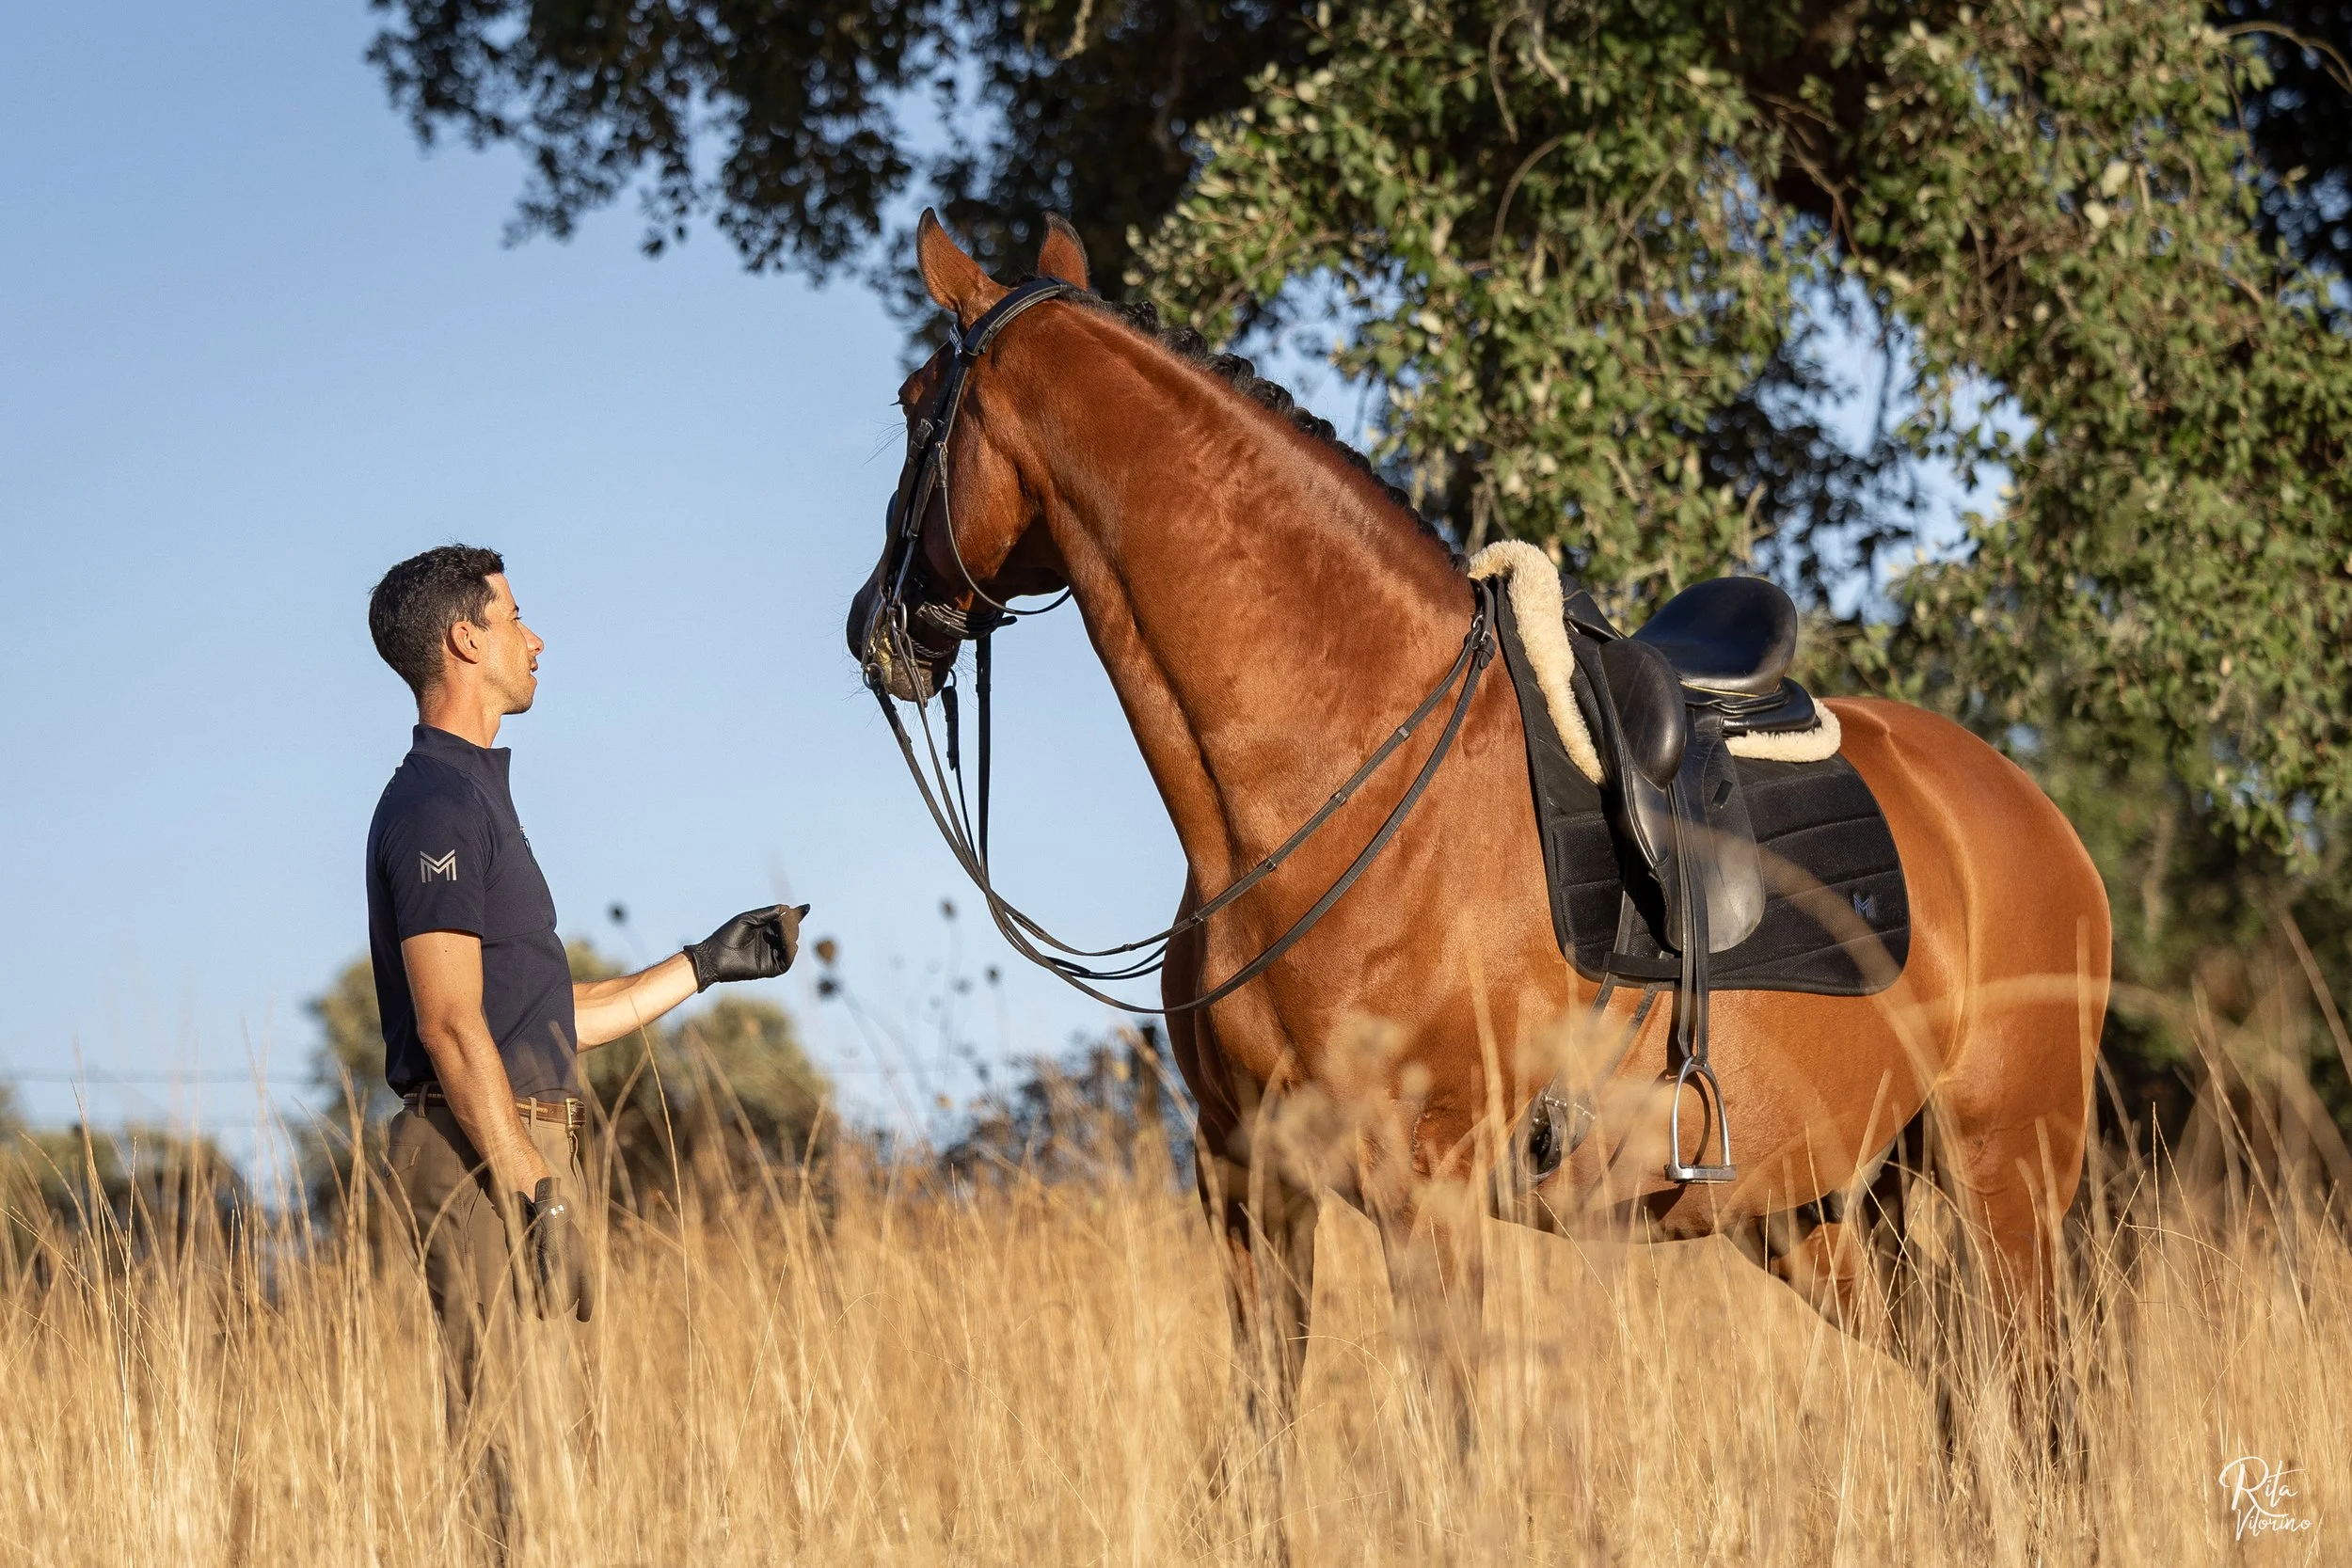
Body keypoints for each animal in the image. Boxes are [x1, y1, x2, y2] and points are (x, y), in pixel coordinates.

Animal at [847, 210, 2113, 1444]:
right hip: (1820, 1206)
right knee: (1962, 1389)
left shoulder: (1425, 1191)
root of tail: (2031, 811)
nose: (876, 628)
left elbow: (1449, 1447)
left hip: (2006, 1168)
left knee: (2037, 1400)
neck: (1338, 778)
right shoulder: (1246, 1177)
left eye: (914, 405)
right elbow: (1257, 1438)